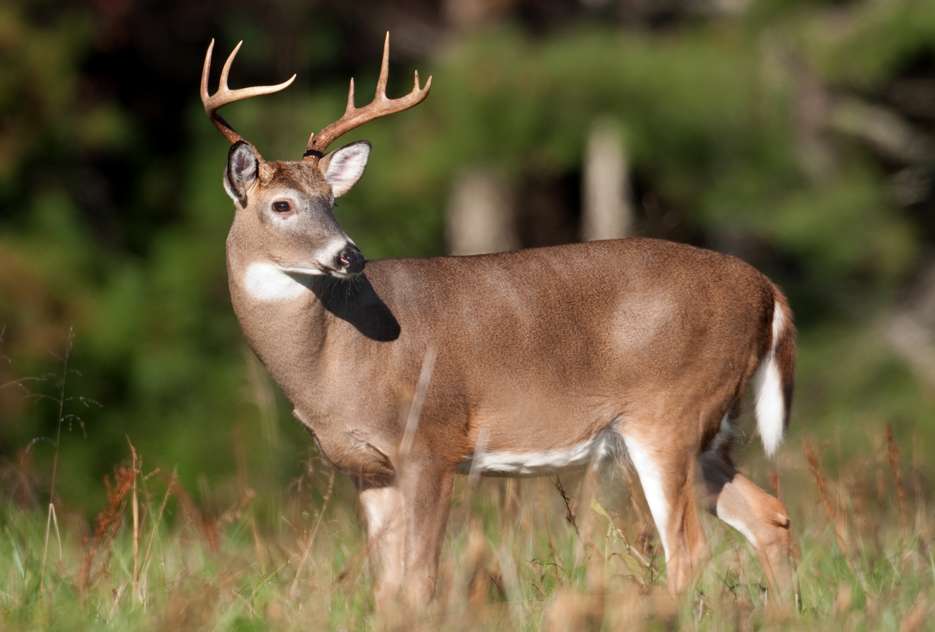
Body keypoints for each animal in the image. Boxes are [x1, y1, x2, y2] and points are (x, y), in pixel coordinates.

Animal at [200, 33, 797, 609]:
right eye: (282, 205)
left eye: (332, 201)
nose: (350, 255)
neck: (335, 357)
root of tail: (767, 290)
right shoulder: (366, 468)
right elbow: (387, 588)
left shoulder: (431, 442)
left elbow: (420, 579)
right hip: (710, 427)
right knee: (770, 516)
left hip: (670, 412)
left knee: (689, 548)